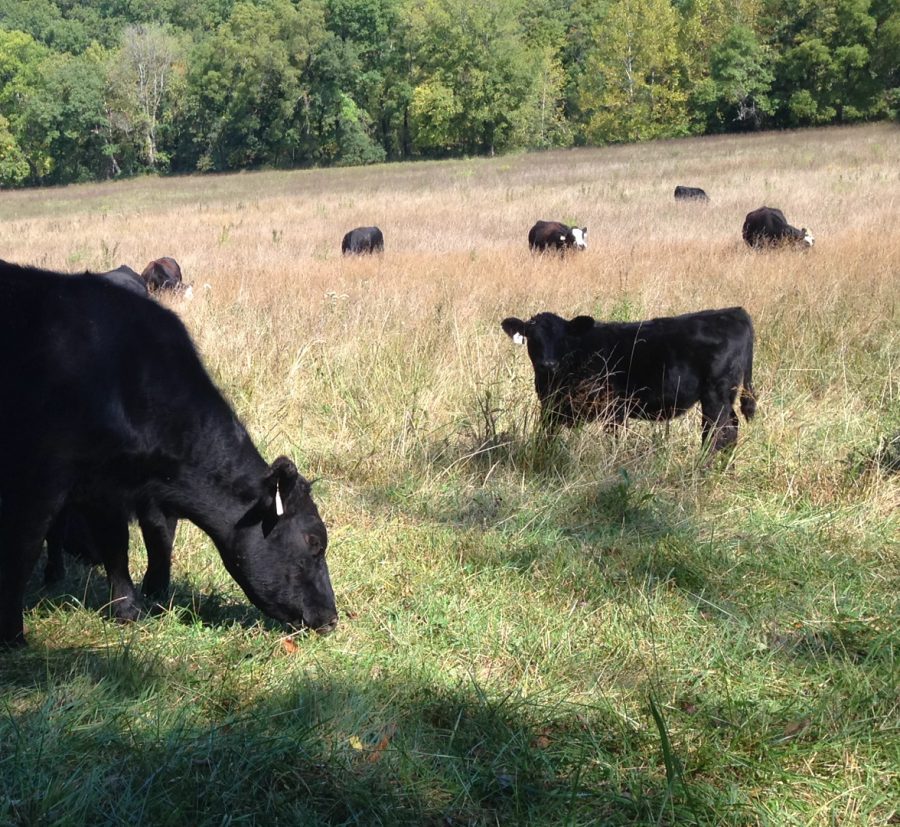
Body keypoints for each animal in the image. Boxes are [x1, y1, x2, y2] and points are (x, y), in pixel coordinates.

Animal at [0, 258, 338, 648]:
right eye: (314, 541)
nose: (331, 617)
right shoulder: (44, 479)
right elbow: (24, 550)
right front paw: (13, 635)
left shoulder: (106, 485)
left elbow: (117, 544)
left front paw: (128, 610)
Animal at [502, 306, 756, 452]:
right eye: (532, 338)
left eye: (563, 338)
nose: (548, 365)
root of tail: (734, 311)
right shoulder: (550, 408)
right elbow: (547, 438)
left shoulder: (614, 408)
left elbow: (613, 440)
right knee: (730, 427)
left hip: (715, 396)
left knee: (717, 432)